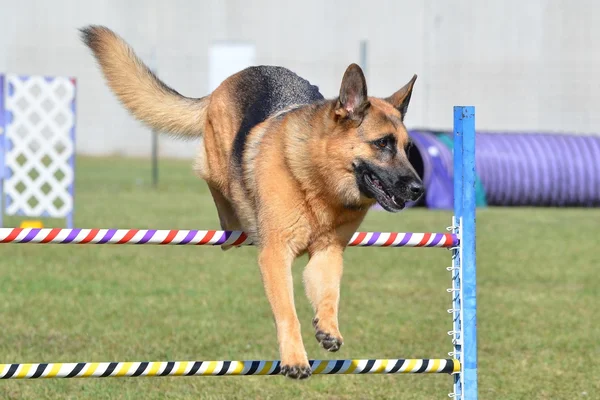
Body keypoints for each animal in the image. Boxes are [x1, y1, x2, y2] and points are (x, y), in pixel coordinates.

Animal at [82, 25, 424, 378]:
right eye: (382, 144)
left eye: (407, 148)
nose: (418, 189)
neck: (318, 183)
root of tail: (231, 79)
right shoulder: (275, 255)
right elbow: (287, 312)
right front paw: (294, 359)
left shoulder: (327, 254)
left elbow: (330, 294)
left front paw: (328, 327)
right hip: (218, 166)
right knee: (216, 184)